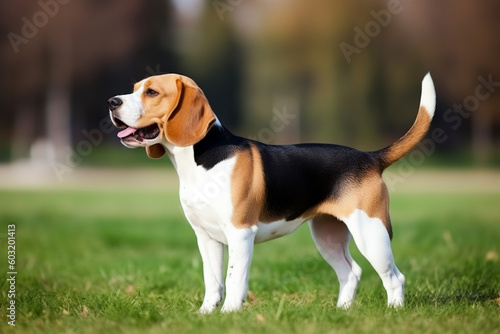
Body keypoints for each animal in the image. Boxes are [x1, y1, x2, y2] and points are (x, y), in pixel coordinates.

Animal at [107, 72, 436, 314]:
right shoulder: (206, 237)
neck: (198, 161)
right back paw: (341, 311)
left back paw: (393, 311)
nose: (111, 101)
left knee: (394, 277)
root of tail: (370, 157)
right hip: (327, 235)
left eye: (151, 92)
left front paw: (229, 314)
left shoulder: (240, 233)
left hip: (371, 232)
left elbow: (233, 278)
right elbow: (212, 281)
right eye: (134, 89)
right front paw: (206, 314)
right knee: (350, 272)